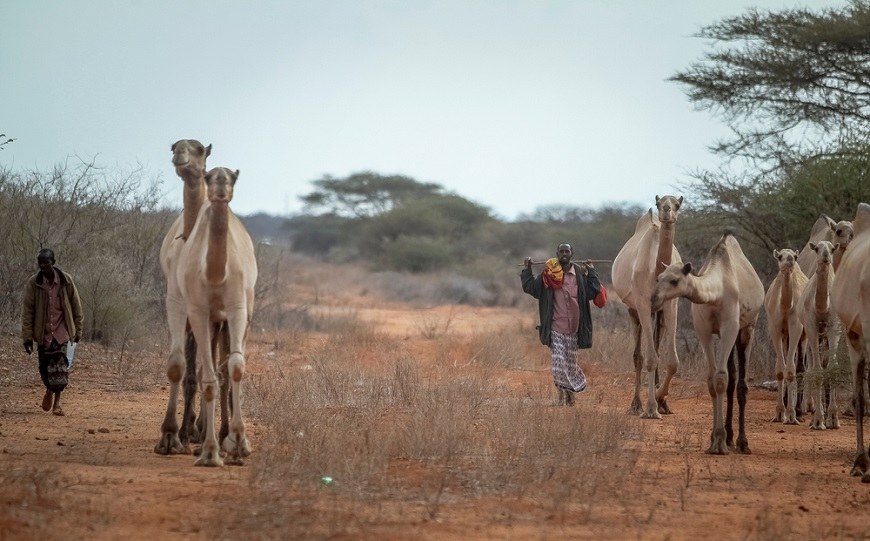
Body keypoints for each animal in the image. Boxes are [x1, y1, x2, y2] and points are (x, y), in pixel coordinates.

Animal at [176, 167, 257, 466]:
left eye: (232, 177)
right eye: (209, 176)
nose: (221, 186)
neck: (214, 274)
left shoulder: (237, 308)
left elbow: (236, 367)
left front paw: (239, 442)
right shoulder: (199, 312)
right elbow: (208, 379)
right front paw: (210, 451)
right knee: (206, 372)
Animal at [611, 195, 683, 418]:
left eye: (678, 204)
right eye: (660, 203)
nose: (667, 211)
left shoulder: (671, 304)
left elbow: (672, 361)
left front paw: (661, 400)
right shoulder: (642, 303)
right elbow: (650, 358)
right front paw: (651, 408)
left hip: (657, 313)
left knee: (657, 349)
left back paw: (662, 403)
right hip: (633, 309)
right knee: (639, 355)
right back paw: (636, 404)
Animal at [651, 231, 764, 454]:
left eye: (674, 280)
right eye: (659, 277)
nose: (653, 298)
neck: (717, 291)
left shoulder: (730, 326)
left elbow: (720, 378)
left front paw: (719, 442)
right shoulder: (703, 329)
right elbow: (712, 379)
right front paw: (716, 439)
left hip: (748, 327)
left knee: (741, 383)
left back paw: (742, 442)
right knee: (732, 378)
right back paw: (730, 437)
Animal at [764, 248, 809, 425]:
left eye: (795, 256)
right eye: (780, 257)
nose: (790, 259)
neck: (784, 307)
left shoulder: (796, 327)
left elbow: (791, 370)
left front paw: (791, 415)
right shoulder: (775, 329)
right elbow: (779, 370)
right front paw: (779, 412)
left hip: (804, 335)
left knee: (801, 367)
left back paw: (799, 411)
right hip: (785, 338)